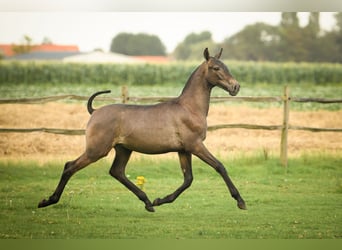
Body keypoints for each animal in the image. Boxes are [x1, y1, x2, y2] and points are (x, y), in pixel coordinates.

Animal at [38, 47, 246, 212]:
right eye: (216, 68)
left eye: (226, 66)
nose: (235, 86)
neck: (189, 108)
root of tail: (94, 112)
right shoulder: (195, 145)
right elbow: (219, 166)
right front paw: (240, 201)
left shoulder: (183, 150)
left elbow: (188, 179)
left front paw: (160, 200)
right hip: (96, 150)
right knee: (70, 166)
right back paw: (47, 201)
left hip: (123, 149)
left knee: (117, 172)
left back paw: (147, 202)